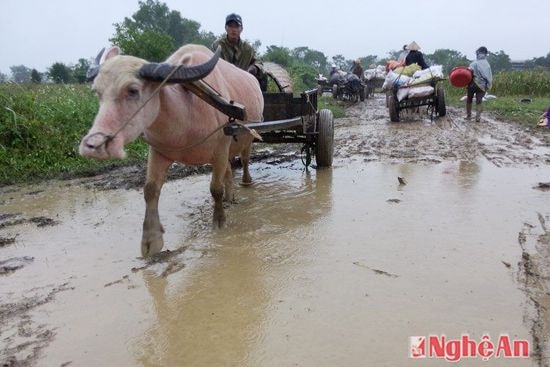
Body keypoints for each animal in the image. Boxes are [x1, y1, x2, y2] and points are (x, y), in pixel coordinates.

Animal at [79, 44, 266, 258]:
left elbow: (215, 189)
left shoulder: (219, 149)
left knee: (244, 160)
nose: (93, 145)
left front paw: (219, 222)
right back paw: (230, 196)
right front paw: (151, 240)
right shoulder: (158, 151)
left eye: (133, 90)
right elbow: (150, 190)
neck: (185, 114)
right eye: (97, 92)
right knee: (228, 170)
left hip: (247, 138)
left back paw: (246, 181)